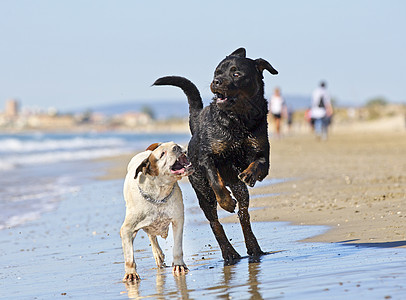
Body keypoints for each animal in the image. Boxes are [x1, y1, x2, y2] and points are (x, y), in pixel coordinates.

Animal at [119, 141, 194, 282]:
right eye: (162, 154)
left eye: (174, 144)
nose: (176, 147)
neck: (159, 194)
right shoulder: (127, 229)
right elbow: (129, 255)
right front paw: (131, 273)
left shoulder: (178, 220)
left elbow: (177, 247)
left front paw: (179, 265)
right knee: (151, 236)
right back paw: (157, 254)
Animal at [154, 47, 278, 262]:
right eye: (217, 72)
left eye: (236, 74)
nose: (216, 82)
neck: (238, 119)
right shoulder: (207, 156)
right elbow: (215, 180)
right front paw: (226, 202)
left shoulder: (262, 152)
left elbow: (259, 164)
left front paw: (250, 174)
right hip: (202, 191)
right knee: (215, 222)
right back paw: (229, 252)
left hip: (239, 189)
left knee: (244, 215)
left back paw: (253, 247)